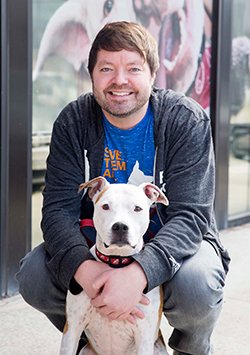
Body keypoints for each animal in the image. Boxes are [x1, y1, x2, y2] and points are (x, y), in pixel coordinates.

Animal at [60, 177, 169, 354]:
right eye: (105, 206)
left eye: (137, 208)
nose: (120, 226)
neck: (116, 262)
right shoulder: (71, 330)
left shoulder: (144, 337)